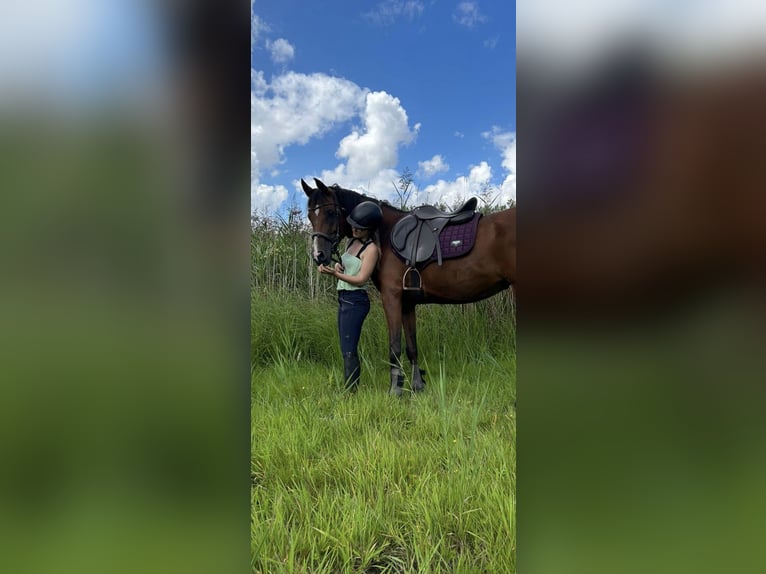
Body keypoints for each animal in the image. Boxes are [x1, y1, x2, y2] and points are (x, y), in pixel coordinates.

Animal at [304, 179, 520, 396]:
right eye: (310, 215)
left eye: (330, 212)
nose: (318, 255)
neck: (385, 234)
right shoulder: (407, 303)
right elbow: (411, 347)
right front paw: (417, 385)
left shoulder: (391, 298)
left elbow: (394, 346)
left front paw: (395, 390)